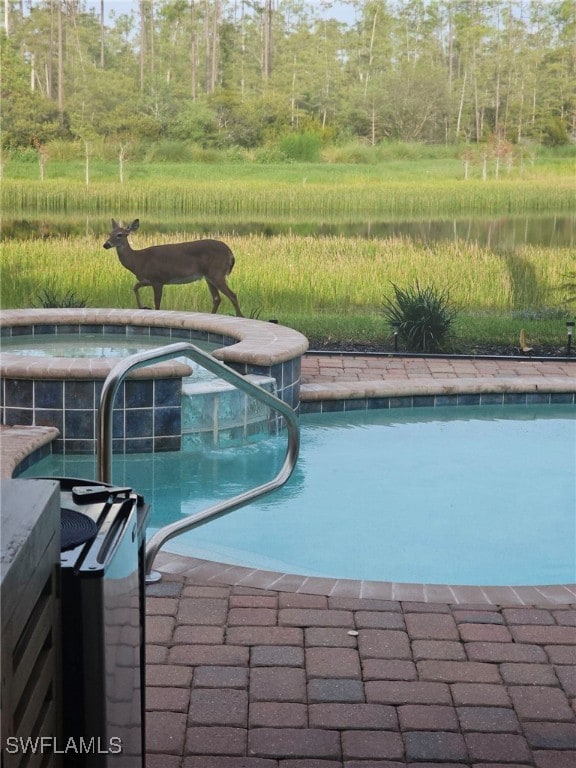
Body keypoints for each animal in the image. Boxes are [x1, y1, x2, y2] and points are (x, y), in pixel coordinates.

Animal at [103, 216, 243, 316]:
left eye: (120, 234)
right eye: (110, 233)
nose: (106, 244)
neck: (137, 261)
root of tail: (230, 253)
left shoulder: (157, 279)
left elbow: (157, 303)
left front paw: (148, 307)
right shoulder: (148, 280)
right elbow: (135, 287)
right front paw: (143, 306)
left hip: (217, 272)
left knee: (232, 295)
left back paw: (240, 316)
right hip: (208, 276)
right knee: (217, 298)